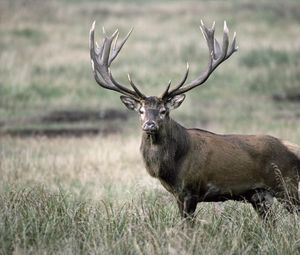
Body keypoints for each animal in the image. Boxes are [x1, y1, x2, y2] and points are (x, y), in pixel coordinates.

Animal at [88, 20, 300, 219]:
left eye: (164, 111)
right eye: (141, 111)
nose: (150, 125)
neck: (172, 167)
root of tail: (293, 148)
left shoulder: (191, 190)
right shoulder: (177, 194)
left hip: (287, 185)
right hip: (260, 195)